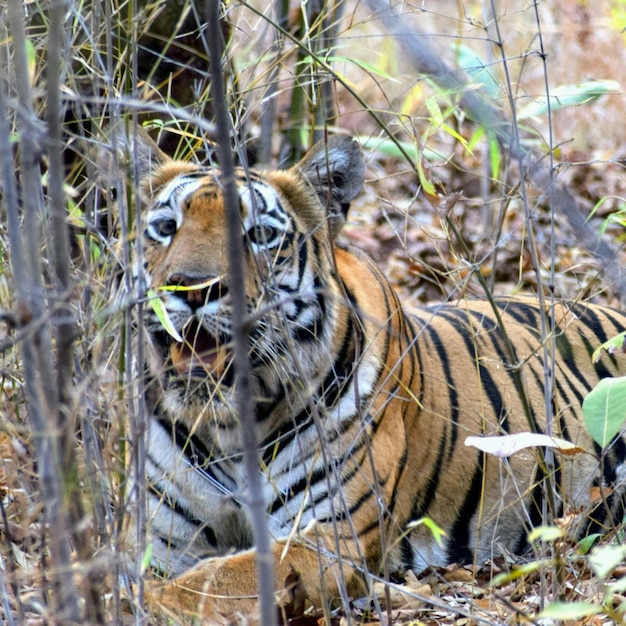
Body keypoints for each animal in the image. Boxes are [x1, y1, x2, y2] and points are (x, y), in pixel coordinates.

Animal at [100, 129, 624, 616]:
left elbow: (210, 582)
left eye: (259, 235)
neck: (228, 426)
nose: (190, 288)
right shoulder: (163, 539)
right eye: (166, 227)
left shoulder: (330, 538)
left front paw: (130, 604)